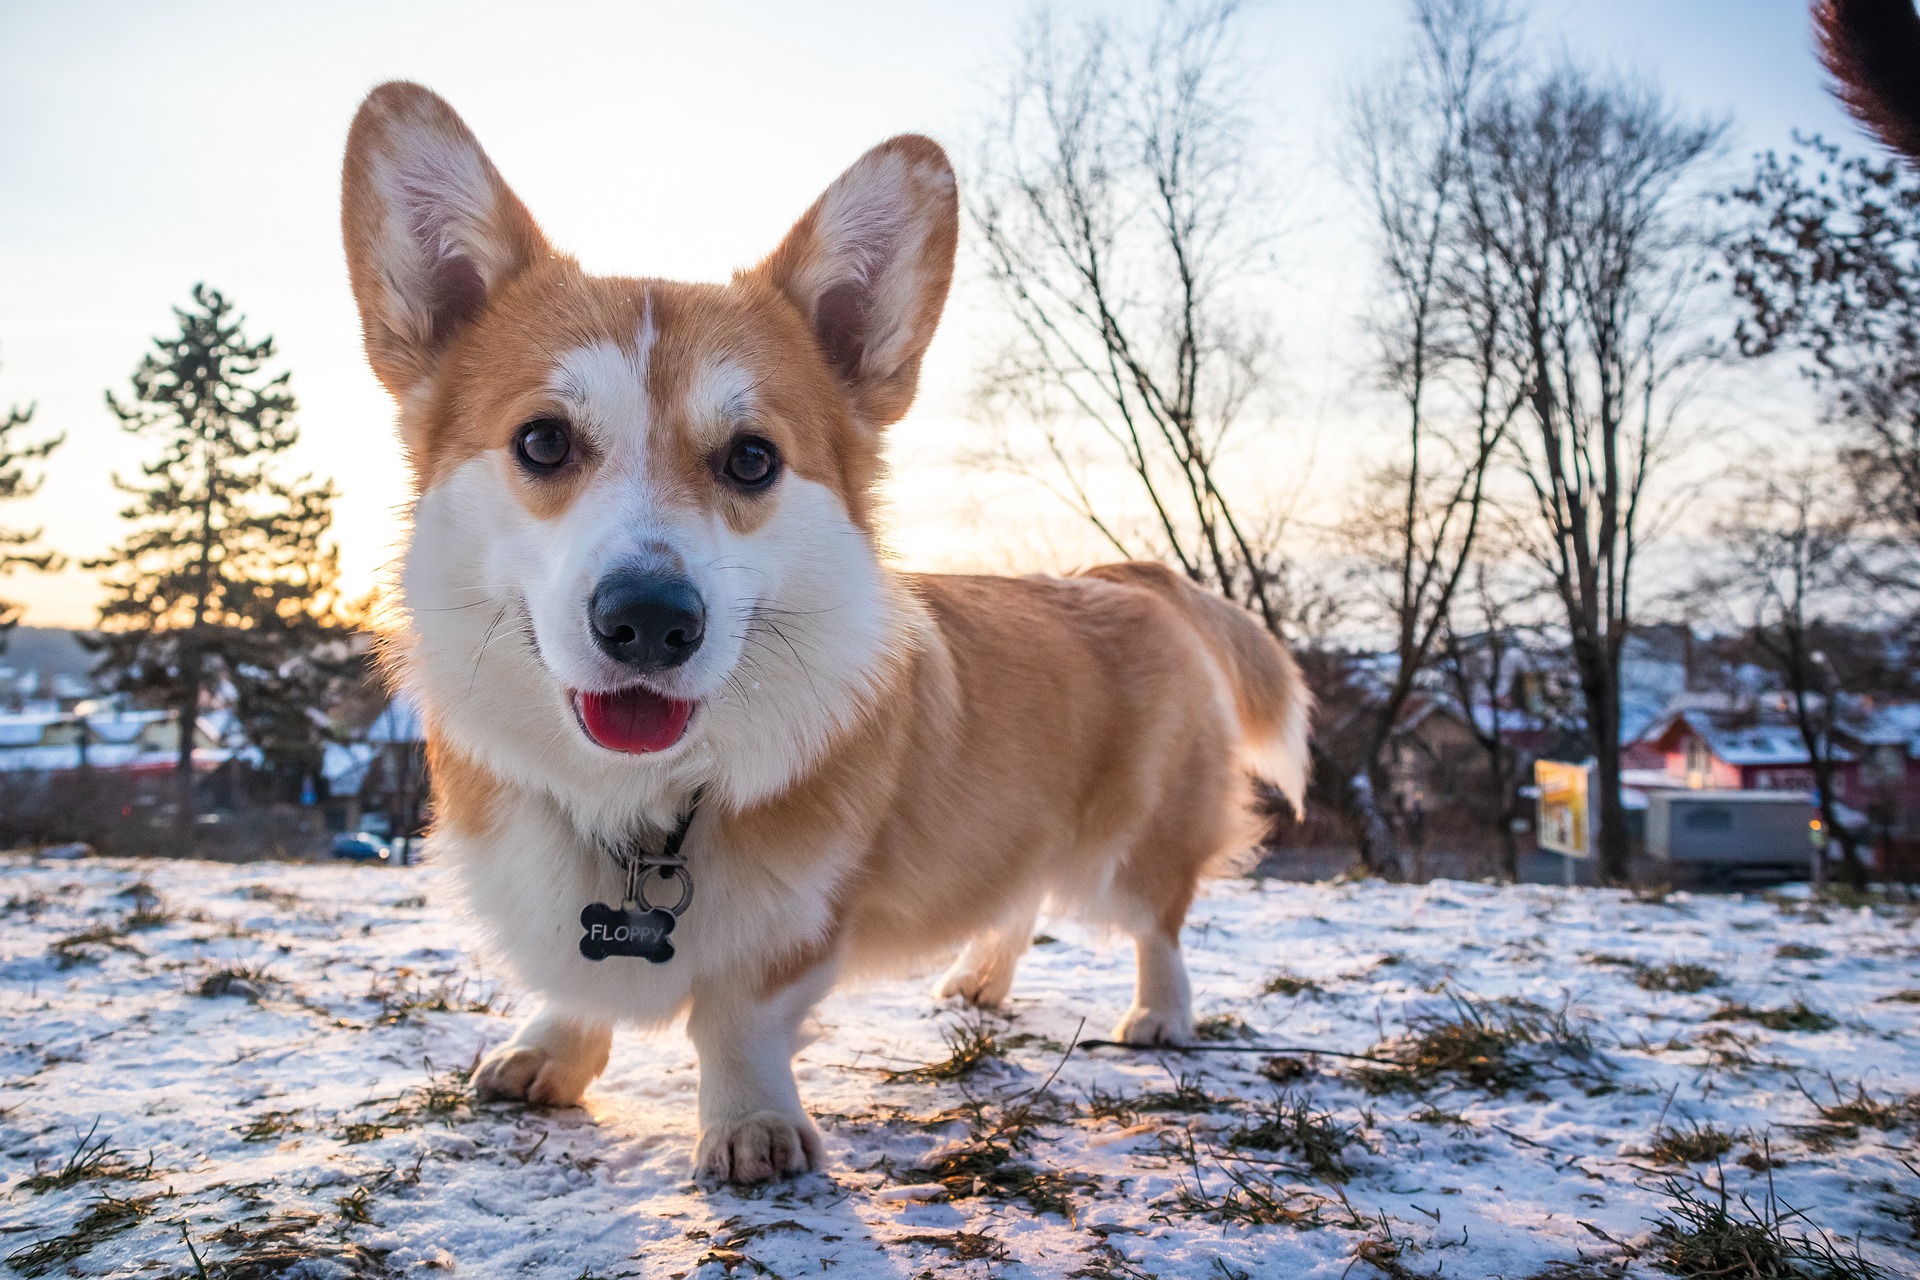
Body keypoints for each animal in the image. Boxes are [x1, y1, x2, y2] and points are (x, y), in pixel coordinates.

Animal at [341, 77, 1305, 1182]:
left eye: (753, 458)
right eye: (543, 441)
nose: (650, 622)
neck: (641, 799)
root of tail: (1124, 575)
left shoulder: (795, 923)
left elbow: (738, 1021)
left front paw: (753, 1127)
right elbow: (578, 985)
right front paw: (552, 1048)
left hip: (1137, 840)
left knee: (1161, 921)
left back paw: (1160, 1014)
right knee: (1016, 898)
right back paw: (979, 979)